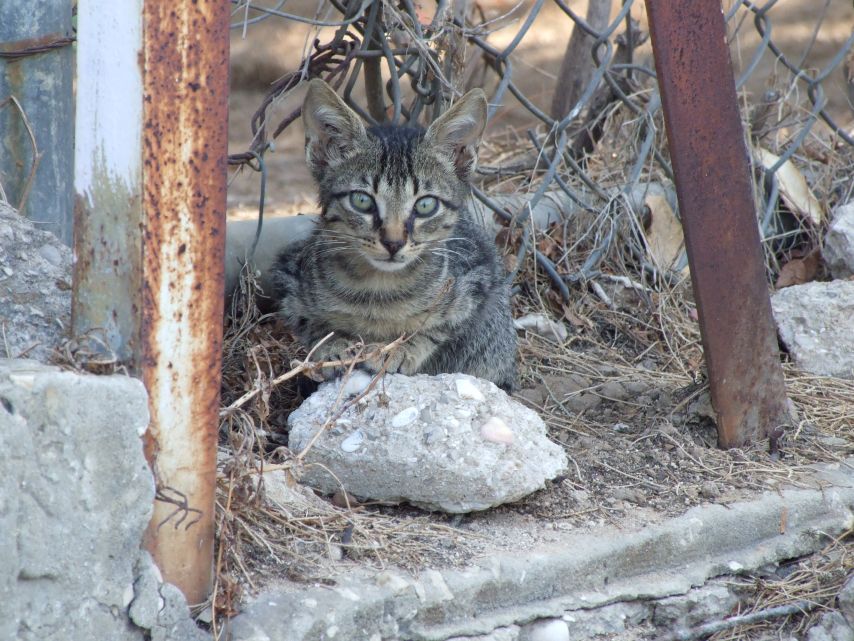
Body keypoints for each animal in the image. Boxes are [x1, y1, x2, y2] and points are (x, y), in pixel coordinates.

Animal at [270, 80, 520, 390]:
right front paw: (332, 345)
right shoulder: (288, 276)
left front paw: (401, 349)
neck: (379, 289)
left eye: (425, 205)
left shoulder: (480, 274)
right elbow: (307, 321)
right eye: (362, 201)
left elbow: (439, 327)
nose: (393, 242)